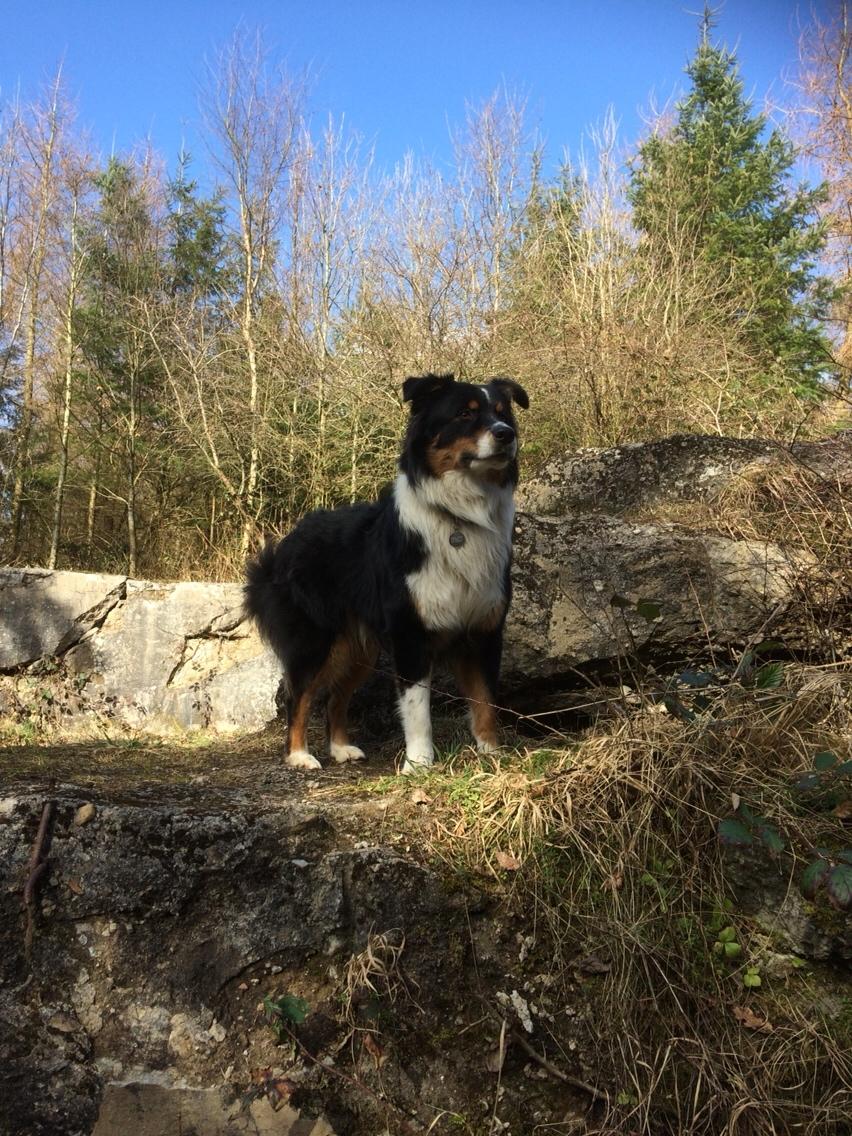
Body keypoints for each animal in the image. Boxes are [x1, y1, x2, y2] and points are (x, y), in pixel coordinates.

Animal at [243, 372, 531, 772]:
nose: (507, 434)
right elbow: (417, 709)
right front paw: (420, 764)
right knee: (298, 695)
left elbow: (485, 700)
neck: (460, 517)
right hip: (316, 642)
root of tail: (284, 545)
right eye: (465, 413)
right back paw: (300, 755)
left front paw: (492, 755)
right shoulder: (411, 635)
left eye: (503, 413)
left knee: (335, 697)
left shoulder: (484, 632)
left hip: (359, 650)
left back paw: (341, 748)